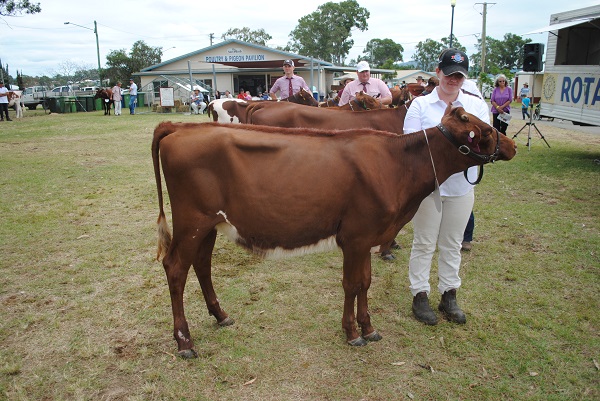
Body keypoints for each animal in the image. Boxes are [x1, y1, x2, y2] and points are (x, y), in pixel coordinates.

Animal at [150, 105, 516, 356]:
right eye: (485, 130)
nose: (511, 145)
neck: (396, 165)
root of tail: (178, 128)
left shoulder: (367, 236)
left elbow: (365, 281)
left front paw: (368, 328)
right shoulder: (355, 236)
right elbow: (352, 283)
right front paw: (352, 332)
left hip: (208, 224)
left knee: (202, 265)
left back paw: (220, 315)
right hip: (192, 221)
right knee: (176, 268)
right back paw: (184, 342)